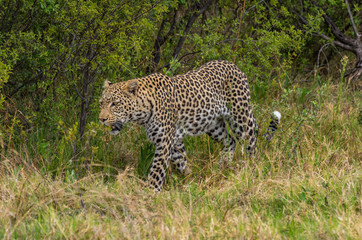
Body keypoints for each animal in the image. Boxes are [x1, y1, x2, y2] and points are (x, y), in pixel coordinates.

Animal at [99, 60, 282, 191]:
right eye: (101, 103)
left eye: (114, 104)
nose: (101, 119)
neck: (143, 111)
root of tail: (234, 65)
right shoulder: (174, 141)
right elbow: (181, 162)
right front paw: (190, 179)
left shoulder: (164, 142)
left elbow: (156, 172)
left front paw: (149, 195)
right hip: (213, 126)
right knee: (230, 141)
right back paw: (222, 166)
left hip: (240, 118)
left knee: (250, 144)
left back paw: (251, 170)